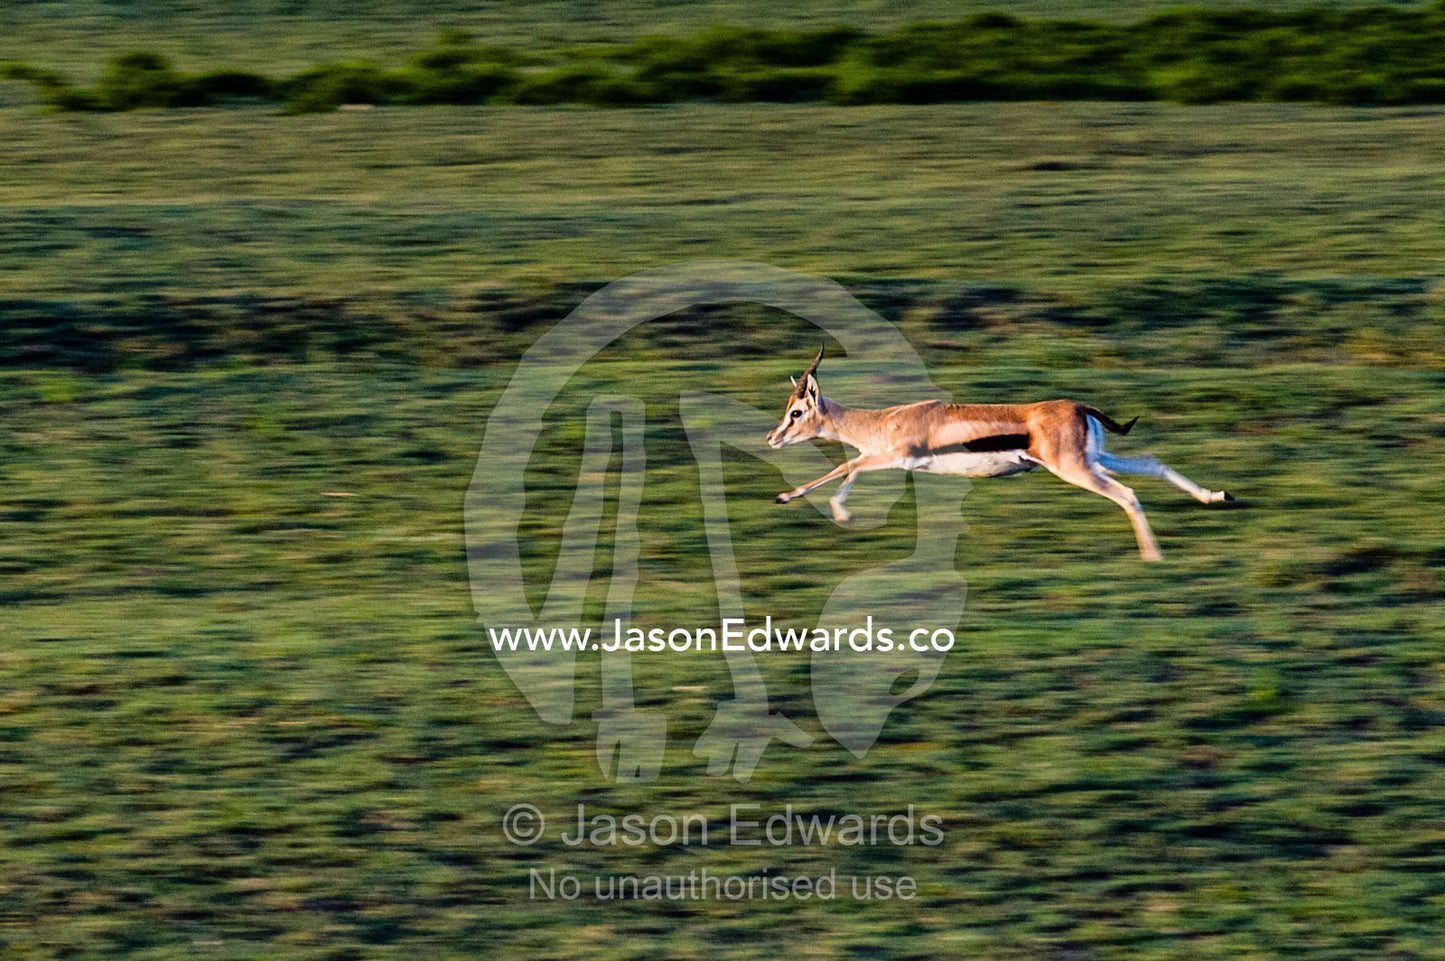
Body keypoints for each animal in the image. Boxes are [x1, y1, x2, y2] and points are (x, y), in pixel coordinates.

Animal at [767, 348, 1231, 561]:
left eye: (796, 411)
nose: (772, 437)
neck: (885, 421)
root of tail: (1079, 406)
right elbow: (851, 470)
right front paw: (840, 513)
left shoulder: (897, 456)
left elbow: (847, 466)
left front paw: (791, 498)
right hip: (1094, 460)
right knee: (1153, 464)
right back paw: (1216, 496)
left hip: (1075, 469)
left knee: (1127, 494)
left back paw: (1153, 556)